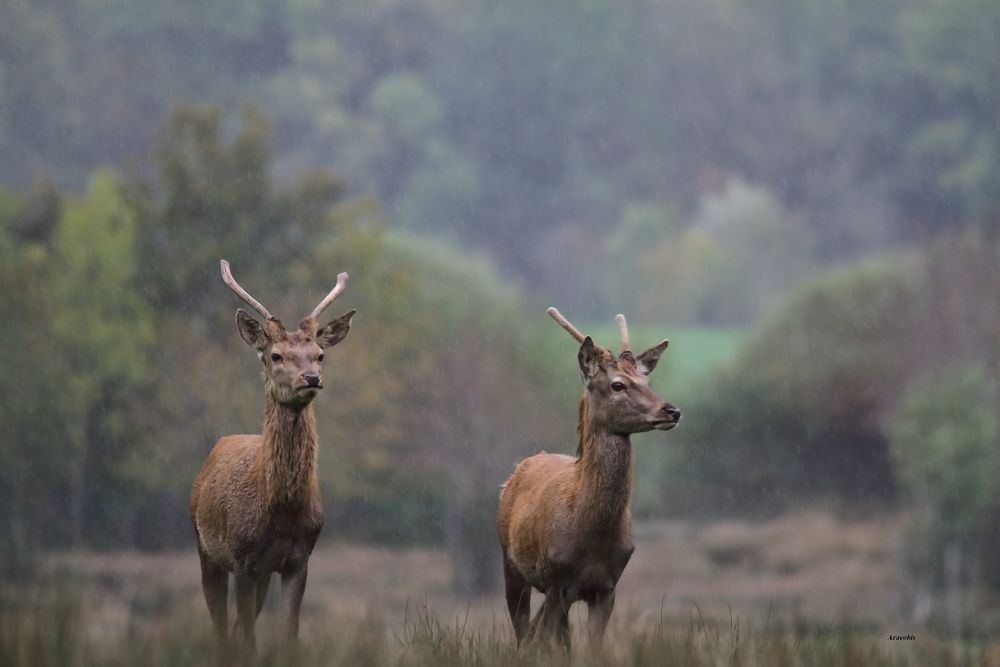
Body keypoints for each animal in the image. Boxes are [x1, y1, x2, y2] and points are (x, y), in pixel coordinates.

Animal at [189, 258, 358, 656]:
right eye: (275, 355)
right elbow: (248, 639)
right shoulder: (242, 558)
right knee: (221, 624)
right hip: (204, 547)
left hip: (260, 572)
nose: (311, 378)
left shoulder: (299, 559)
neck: (281, 511)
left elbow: (289, 634)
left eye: (320, 355)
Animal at [498, 310, 684, 652]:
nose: (672, 411)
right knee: (524, 634)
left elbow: (590, 648)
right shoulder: (558, 581)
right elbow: (552, 644)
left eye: (648, 381)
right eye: (617, 385)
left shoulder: (606, 587)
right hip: (510, 563)